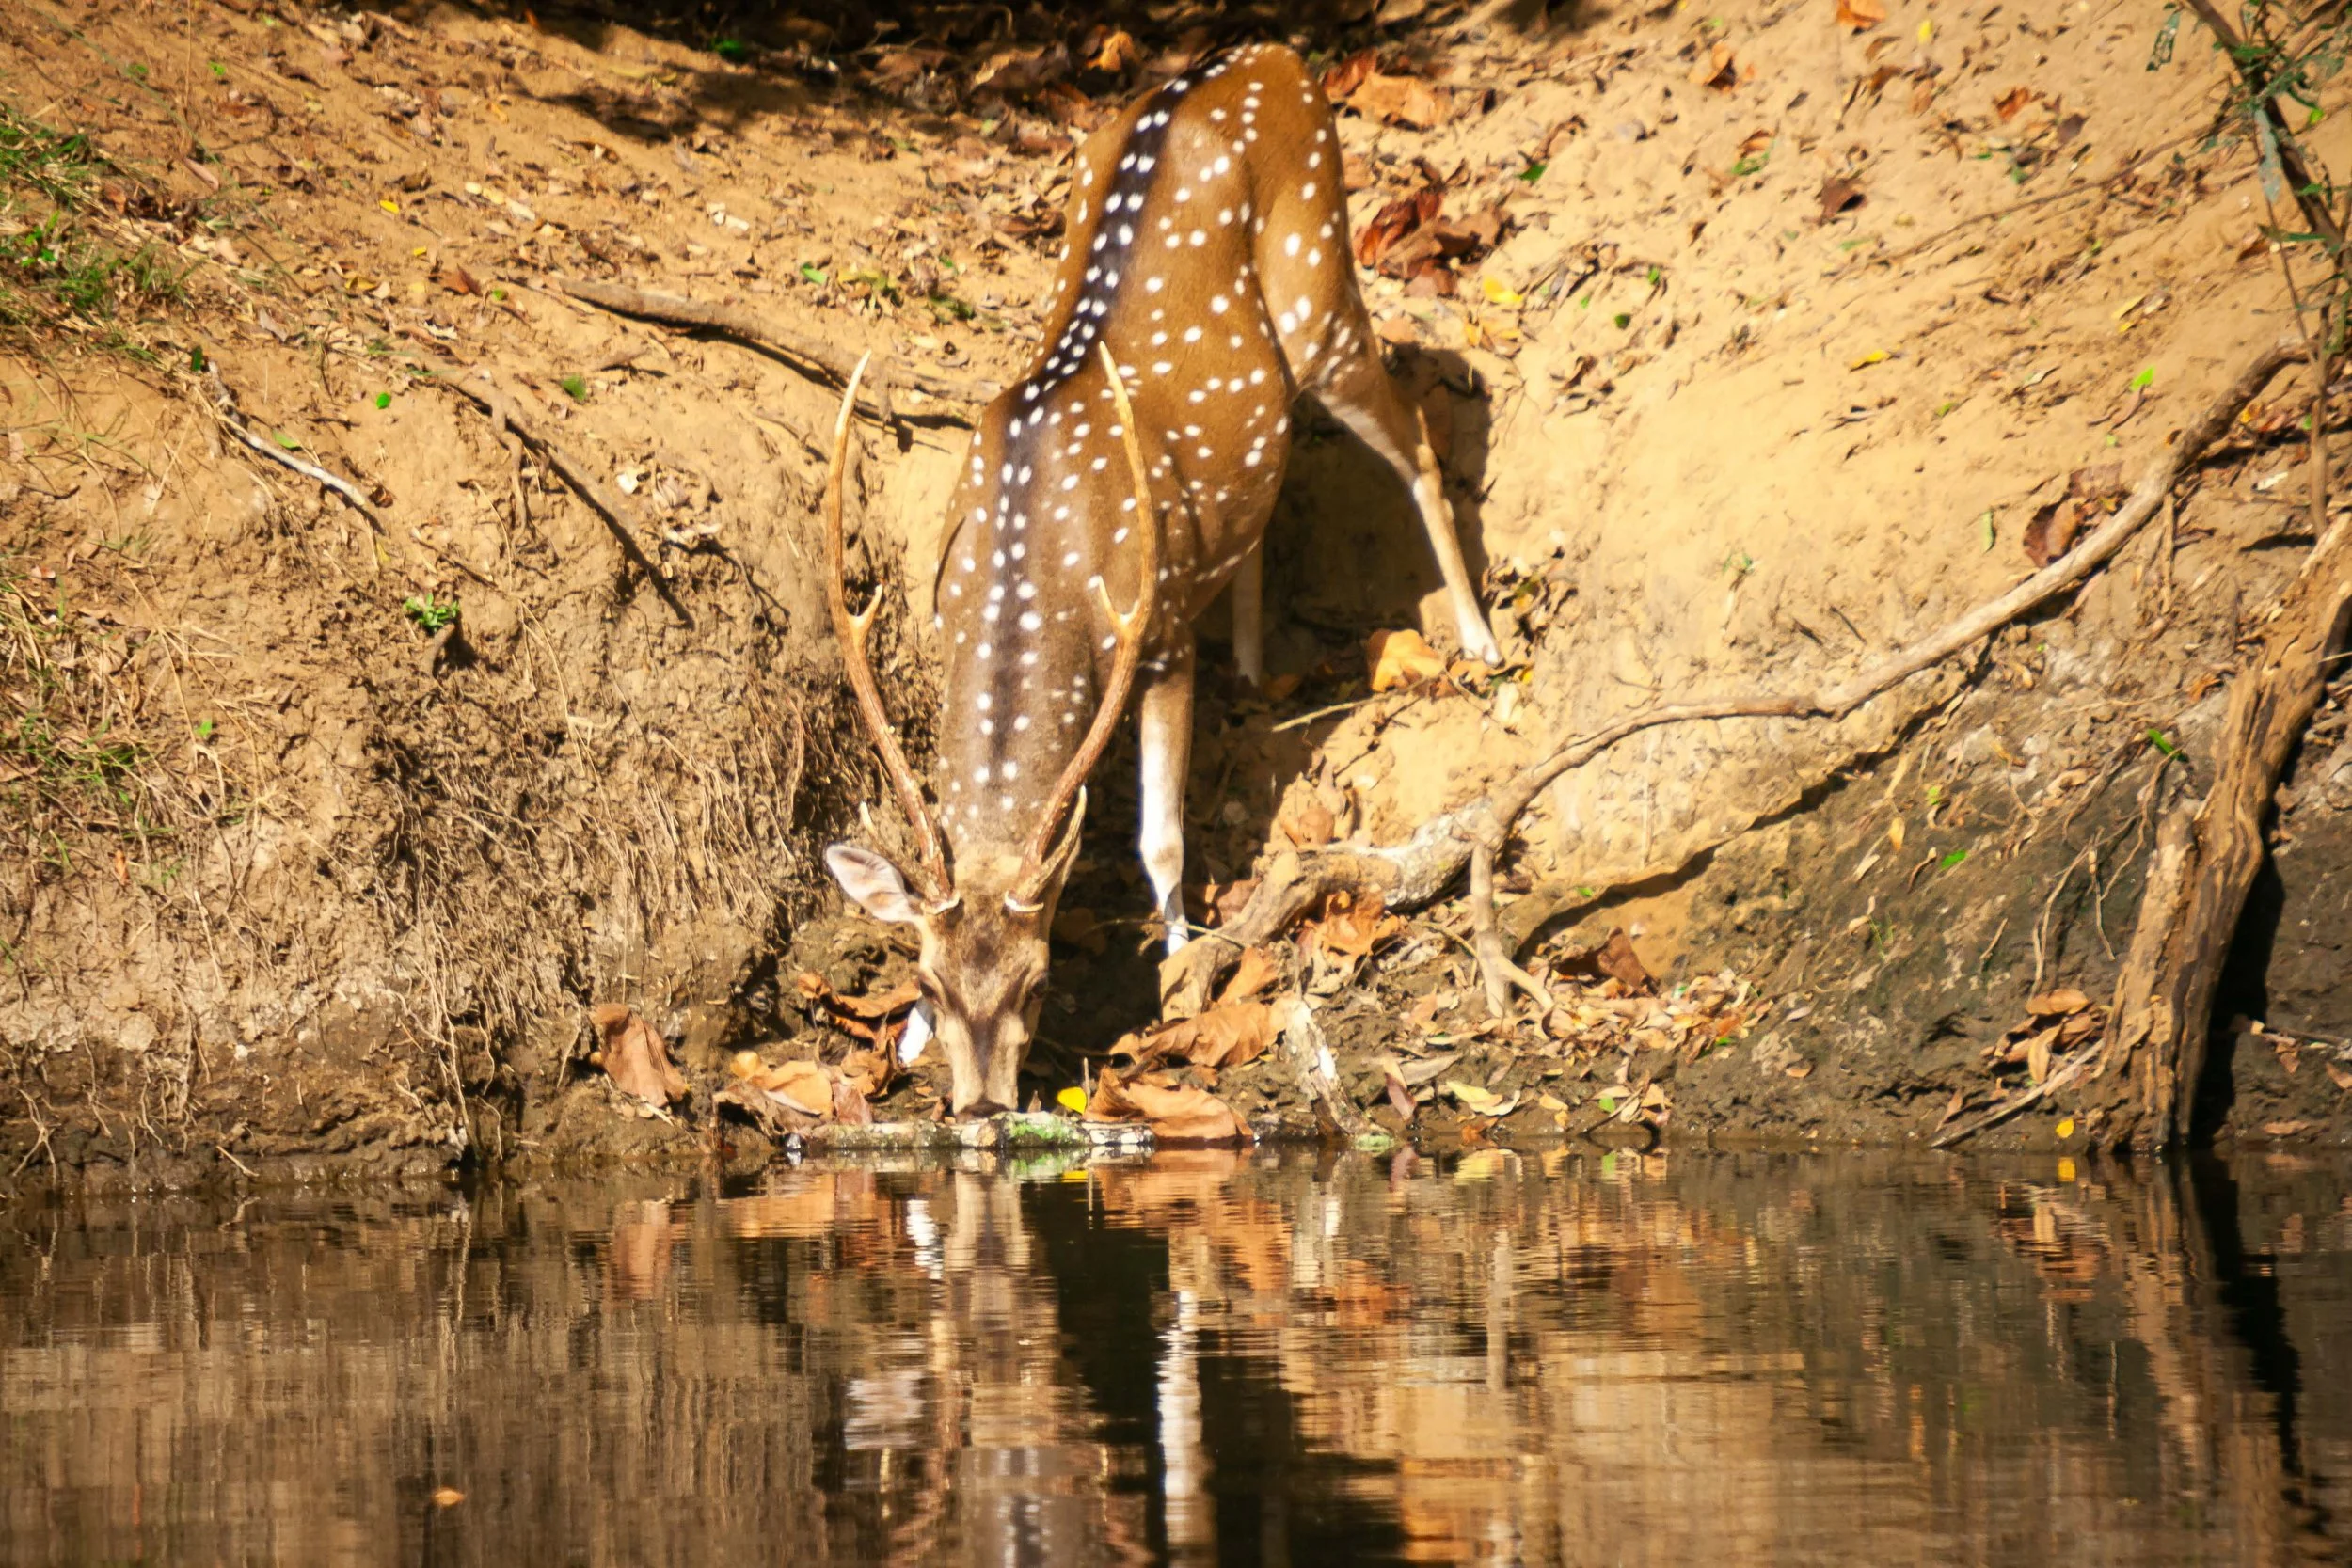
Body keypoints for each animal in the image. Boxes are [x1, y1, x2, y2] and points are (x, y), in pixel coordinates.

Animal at [822, 42, 1504, 1116]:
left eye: (1039, 980)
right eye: (925, 977)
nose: (981, 1106)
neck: (1032, 561)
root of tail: (1274, 55)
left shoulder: (1161, 630)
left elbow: (1160, 839)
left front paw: (1181, 960)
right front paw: (910, 1043)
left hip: (1321, 290)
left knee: (1419, 440)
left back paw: (1479, 638)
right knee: (1270, 482)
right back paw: (1260, 663)